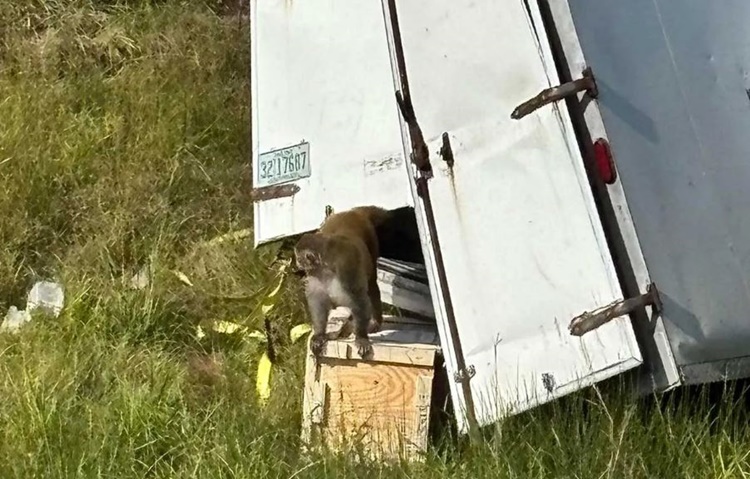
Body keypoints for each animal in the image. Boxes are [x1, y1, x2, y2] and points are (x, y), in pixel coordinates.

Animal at [294, 206, 394, 359]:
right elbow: (318, 302)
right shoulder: (315, 275)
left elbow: (359, 300)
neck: (326, 267)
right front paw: (319, 334)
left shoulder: (346, 268)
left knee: (371, 285)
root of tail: (353, 212)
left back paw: (375, 321)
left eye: (299, 258)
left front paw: (361, 337)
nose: (296, 263)